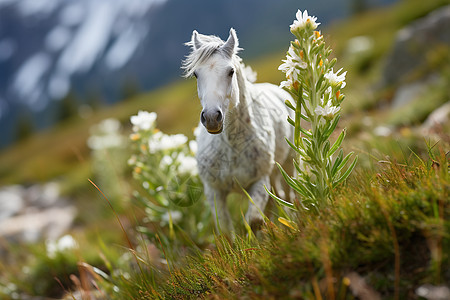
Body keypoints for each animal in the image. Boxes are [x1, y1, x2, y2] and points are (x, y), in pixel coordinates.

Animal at [182, 28, 292, 232]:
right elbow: (226, 230)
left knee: (289, 196)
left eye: (230, 71)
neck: (230, 146)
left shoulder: (259, 181)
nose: (211, 118)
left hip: (289, 164)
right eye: (196, 74)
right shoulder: (214, 192)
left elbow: (254, 221)